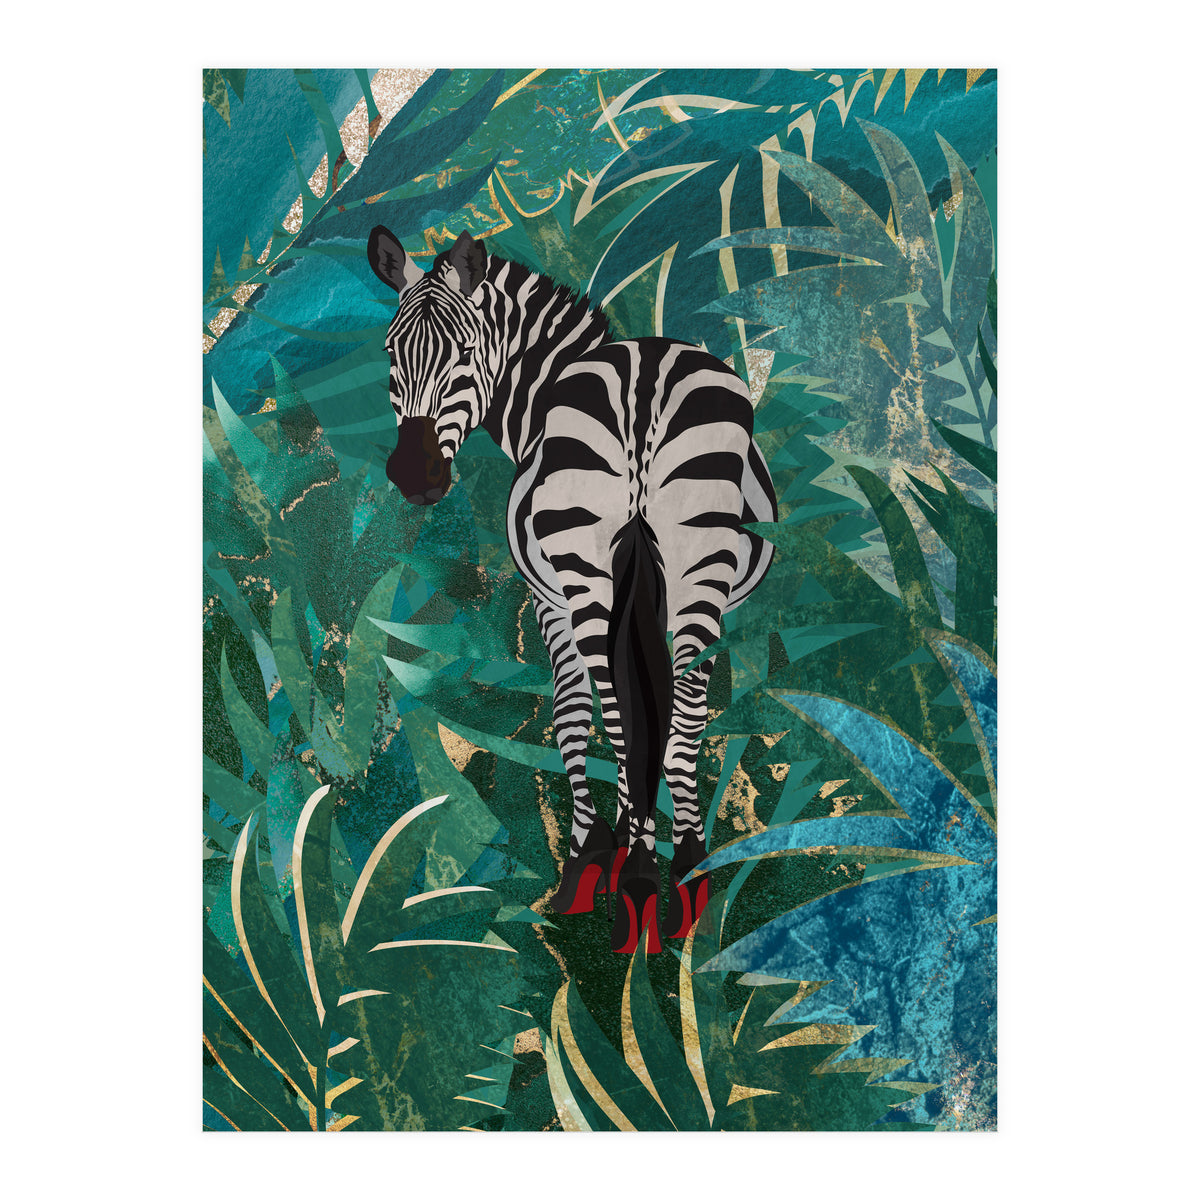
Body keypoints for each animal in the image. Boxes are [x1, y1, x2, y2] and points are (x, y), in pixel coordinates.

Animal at [367, 225, 776, 952]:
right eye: (392, 354)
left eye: (463, 353)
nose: (413, 475)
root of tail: (643, 380)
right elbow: (665, 711)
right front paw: (634, 848)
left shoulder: (549, 598)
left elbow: (573, 714)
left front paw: (591, 858)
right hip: (696, 559)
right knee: (680, 705)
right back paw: (686, 873)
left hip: (587, 563)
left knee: (619, 707)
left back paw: (636, 878)